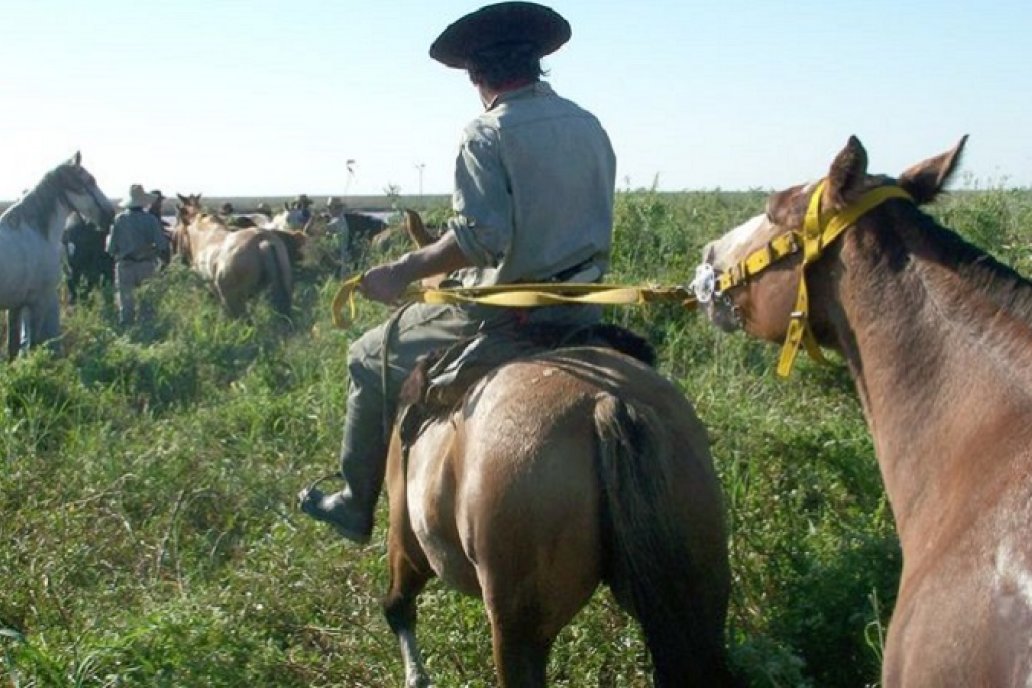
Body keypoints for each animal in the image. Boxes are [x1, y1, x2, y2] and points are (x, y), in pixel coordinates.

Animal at [0, 151, 115, 361]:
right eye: (90, 180)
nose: (109, 215)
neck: (36, 233)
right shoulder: (38, 301)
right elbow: (33, 344)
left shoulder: (16, 305)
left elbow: (13, 349)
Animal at [375, 330, 730, 684]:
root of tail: (606, 401)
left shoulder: (407, 544)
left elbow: (398, 606)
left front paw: (417, 678)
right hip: (702, 593)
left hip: (517, 627)